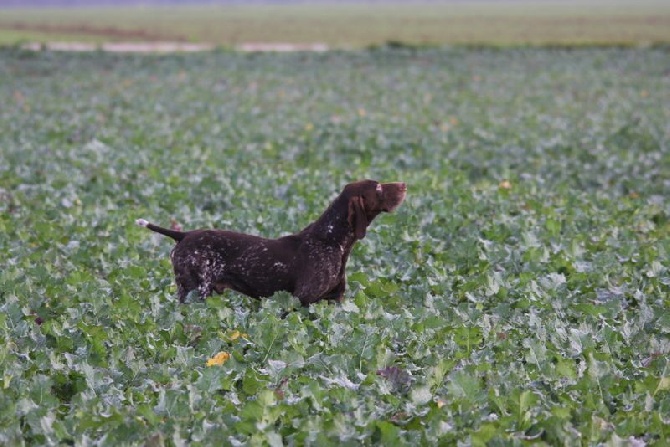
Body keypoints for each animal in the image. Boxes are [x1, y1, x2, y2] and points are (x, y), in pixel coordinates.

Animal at [139, 180, 406, 306]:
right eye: (378, 187)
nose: (404, 185)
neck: (330, 239)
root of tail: (184, 235)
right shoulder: (301, 300)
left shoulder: (333, 301)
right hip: (195, 292)